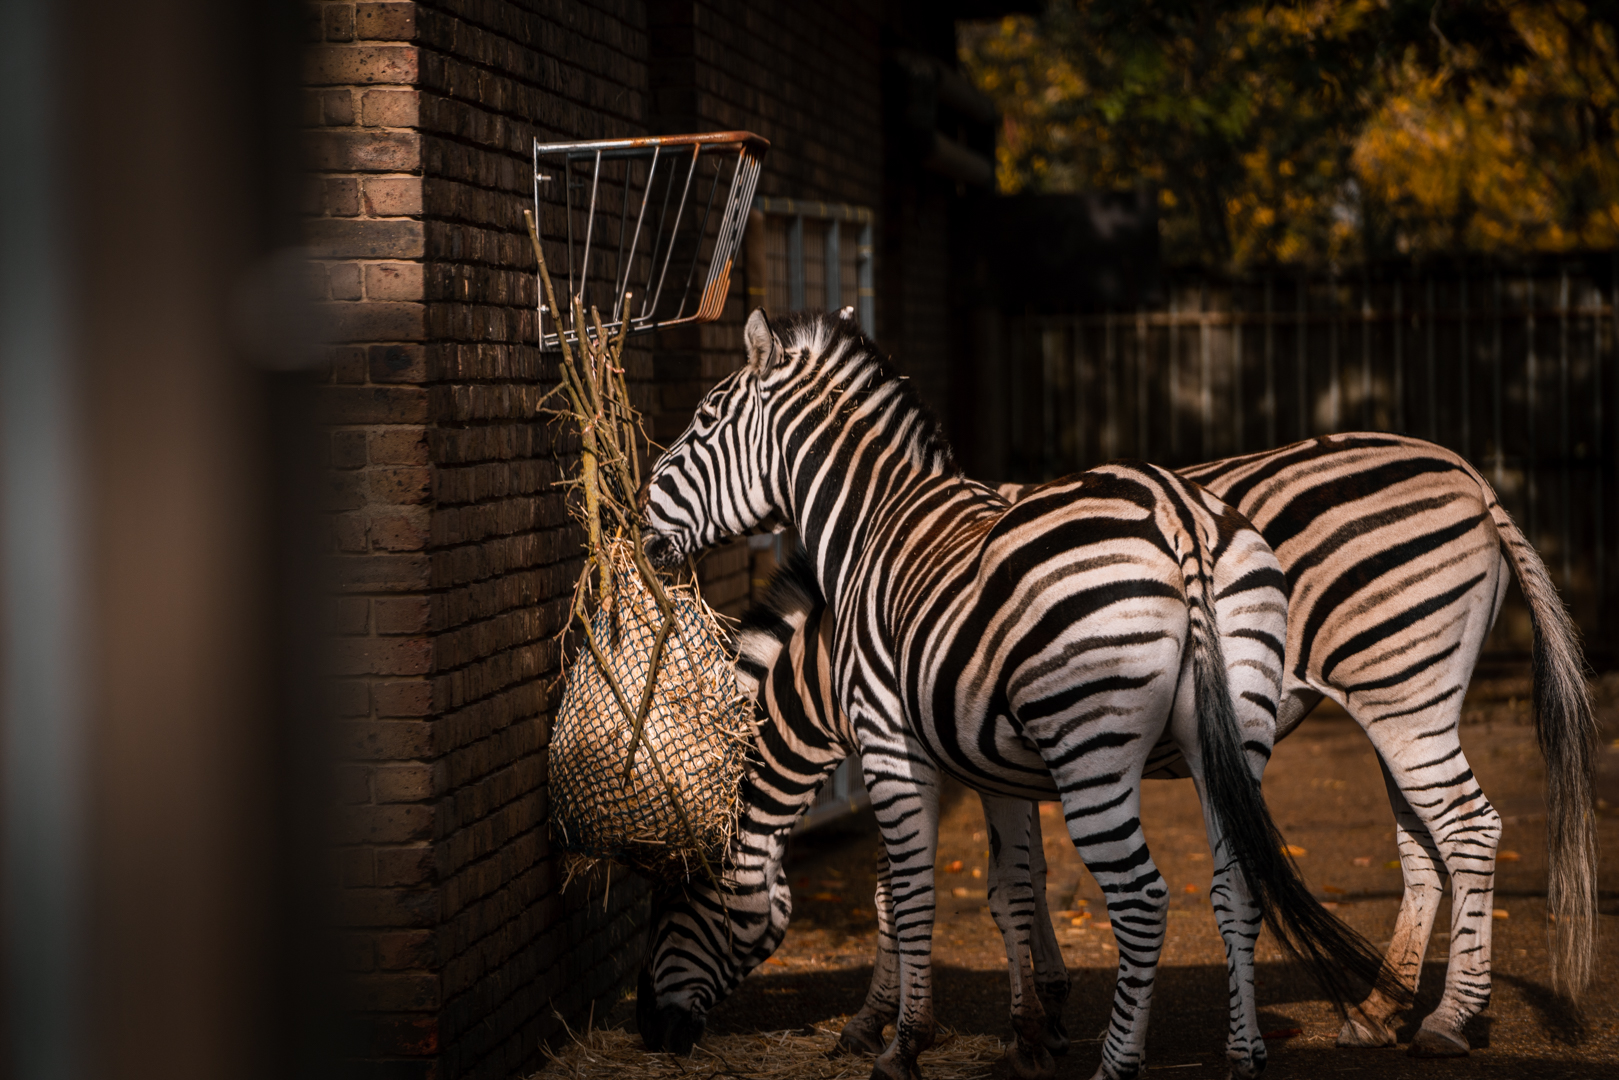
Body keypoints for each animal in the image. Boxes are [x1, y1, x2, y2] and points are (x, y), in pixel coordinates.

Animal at [640, 309, 1394, 1080]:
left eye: (704, 419)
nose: (650, 1031)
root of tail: (1176, 510)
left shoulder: (890, 743)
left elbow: (906, 894)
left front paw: (899, 1042)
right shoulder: (989, 761)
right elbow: (1011, 888)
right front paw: (1030, 1030)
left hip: (1097, 746)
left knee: (1142, 900)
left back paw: (1117, 1064)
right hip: (1231, 737)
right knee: (1237, 884)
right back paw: (1243, 1054)